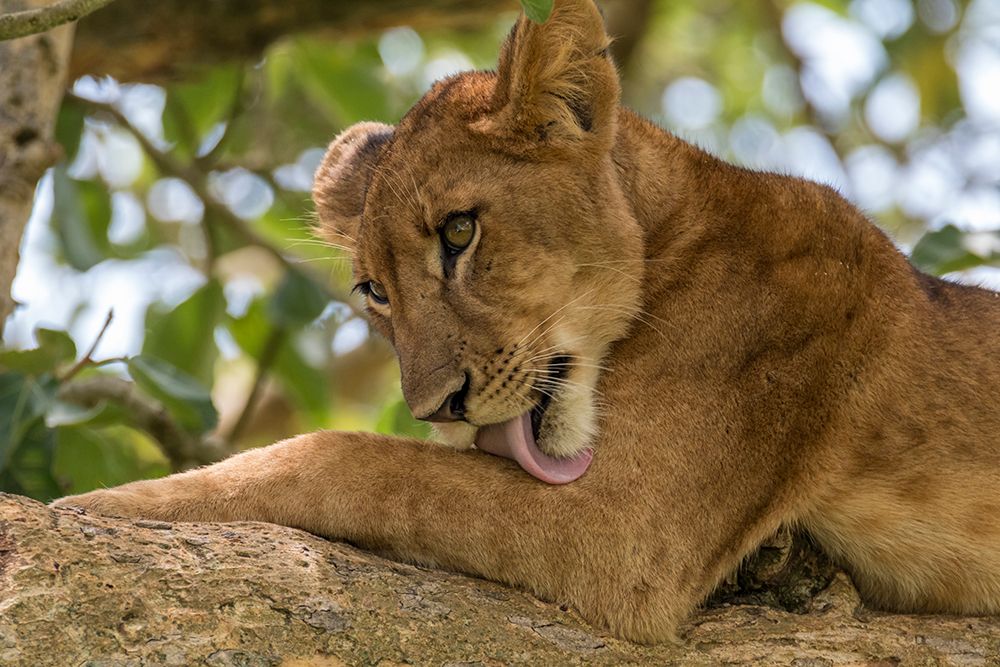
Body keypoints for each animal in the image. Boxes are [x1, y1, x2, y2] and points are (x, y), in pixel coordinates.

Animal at [54, 0, 1000, 644]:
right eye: (374, 291)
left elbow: (347, 458)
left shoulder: (629, 533)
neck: (673, 233)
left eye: (459, 233)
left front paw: (105, 503)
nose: (438, 406)